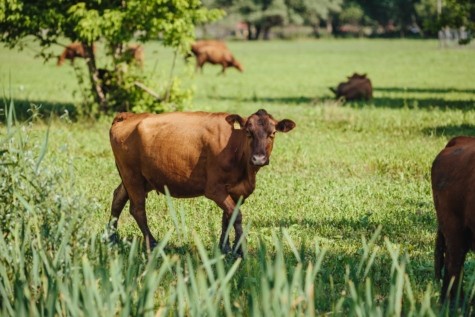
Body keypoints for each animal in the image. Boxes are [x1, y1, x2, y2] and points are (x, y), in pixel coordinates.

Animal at [109, 108, 296, 254]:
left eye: (272, 133)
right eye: (248, 133)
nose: (258, 159)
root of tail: (128, 116)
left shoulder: (237, 191)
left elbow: (227, 217)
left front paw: (225, 247)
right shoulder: (214, 189)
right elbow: (236, 215)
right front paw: (240, 249)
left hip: (139, 178)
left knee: (118, 197)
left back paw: (111, 237)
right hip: (131, 175)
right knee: (137, 209)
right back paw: (153, 243)